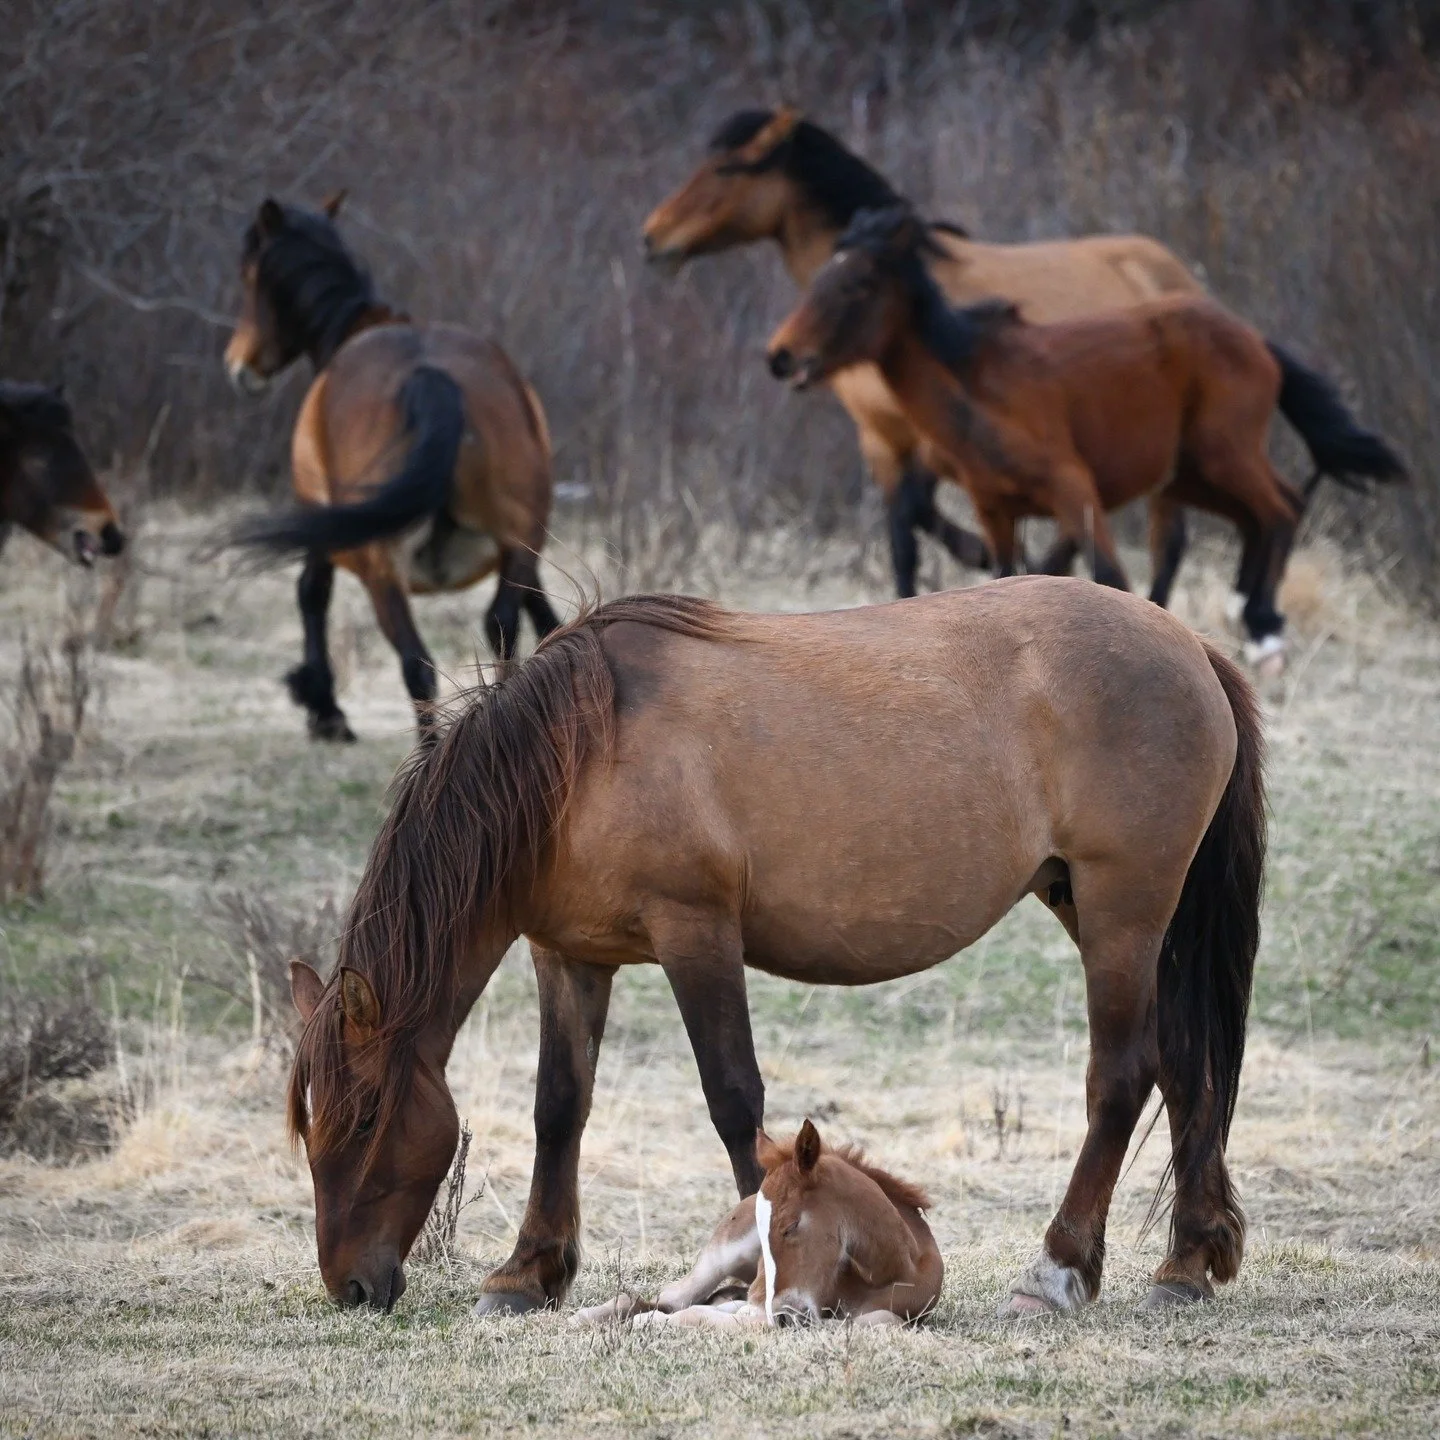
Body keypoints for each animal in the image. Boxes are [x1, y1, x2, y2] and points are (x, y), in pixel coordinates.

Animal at [223, 193, 560, 741]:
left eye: (247, 276)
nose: (239, 366)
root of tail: (431, 377)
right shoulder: (522, 551)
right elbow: (545, 613)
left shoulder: (320, 522)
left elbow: (310, 592)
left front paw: (323, 705)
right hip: (516, 538)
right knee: (502, 630)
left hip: (382, 570)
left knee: (417, 665)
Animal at [571, 1119, 943, 1329]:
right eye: (764, 1237)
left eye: (791, 1225)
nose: (784, 1316)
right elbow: (713, 1317)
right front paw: (650, 1323)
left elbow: (878, 1321)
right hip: (724, 1255)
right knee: (675, 1297)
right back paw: (588, 1316)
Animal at [643, 107, 1406, 605]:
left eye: (726, 167)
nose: (654, 238)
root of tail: (1180, 279)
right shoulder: (887, 442)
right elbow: (905, 536)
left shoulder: (924, 443)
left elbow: (921, 520)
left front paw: (994, 562)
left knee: (1173, 542)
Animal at [767, 207, 1405, 666]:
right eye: (820, 276)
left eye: (858, 284)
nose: (782, 355)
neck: (980, 386)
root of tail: (1254, 338)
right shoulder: (996, 510)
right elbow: (1004, 576)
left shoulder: (1073, 490)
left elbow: (1109, 576)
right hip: (1191, 476)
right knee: (1263, 514)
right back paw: (1247, 613)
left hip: (1225, 456)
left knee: (1280, 506)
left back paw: (1264, 628)